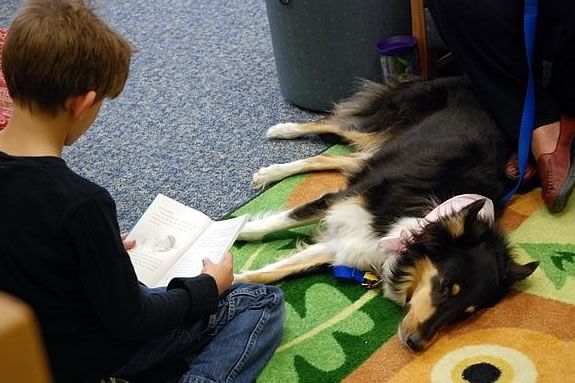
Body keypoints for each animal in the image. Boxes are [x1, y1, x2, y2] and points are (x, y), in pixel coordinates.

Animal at [234, 76, 540, 352]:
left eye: (467, 313)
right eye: (444, 286)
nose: (416, 344)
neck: (420, 221)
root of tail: (463, 79)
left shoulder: (347, 244)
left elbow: (271, 273)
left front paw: (234, 279)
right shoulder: (343, 203)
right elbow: (277, 223)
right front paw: (234, 230)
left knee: (330, 157)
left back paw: (270, 171)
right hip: (383, 121)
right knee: (332, 122)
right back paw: (282, 131)